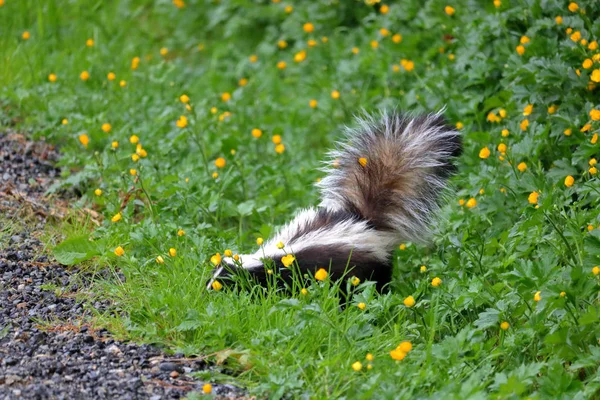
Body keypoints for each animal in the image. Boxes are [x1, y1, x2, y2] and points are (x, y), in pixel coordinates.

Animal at [209, 111, 462, 292]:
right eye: (213, 275)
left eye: (224, 279)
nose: (207, 288)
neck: (263, 260)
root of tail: (366, 222)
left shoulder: (290, 270)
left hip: (368, 266)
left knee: (373, 284)